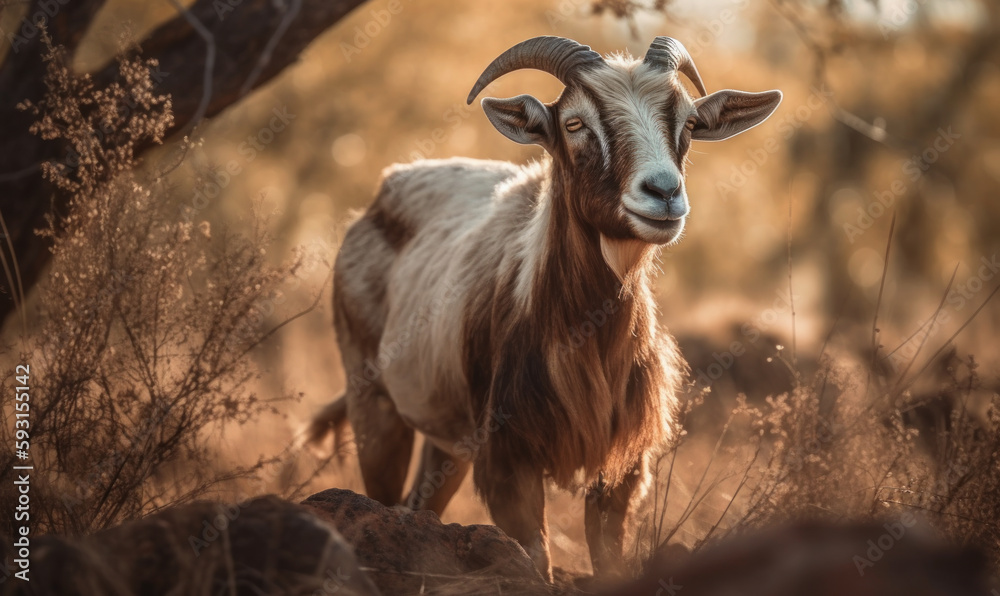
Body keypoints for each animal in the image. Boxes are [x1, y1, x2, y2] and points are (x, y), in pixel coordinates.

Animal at [309, 36, 782, 579]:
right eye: (574, 124)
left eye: (686, 124)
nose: (663, 193)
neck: (588, 341)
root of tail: (376, 199)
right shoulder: (508, 459)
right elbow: (535, 559)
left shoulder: (622, 467)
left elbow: (609, 557)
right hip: (372, 400)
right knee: (381, 494)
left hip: (448, 440)